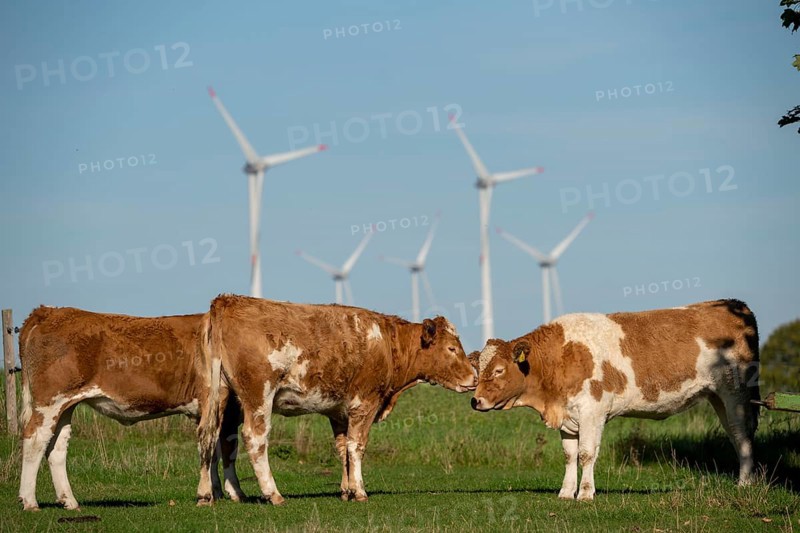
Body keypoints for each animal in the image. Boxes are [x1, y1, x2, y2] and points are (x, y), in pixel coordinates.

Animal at [17, 306, 244, 511]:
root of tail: (49, 311)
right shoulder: (224, 406)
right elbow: (226, 448)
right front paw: (233, 493)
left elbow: (213, 452)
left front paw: (217, 491)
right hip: (50, 401)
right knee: (35, 439)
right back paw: (30, 501)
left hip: (65, 406)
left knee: (57, 446)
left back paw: (69, 501)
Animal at [196, 294, 477, 504]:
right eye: (452, 348)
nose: (474, 377)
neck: (387, 344)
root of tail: (227, 300)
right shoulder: (365, 403)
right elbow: (357, 446)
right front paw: (359, 491)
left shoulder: (339, 411)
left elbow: (343, 449)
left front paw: (346, 490)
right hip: (258, 395)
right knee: (254, 438)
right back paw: (273, 494)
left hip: (219, 396)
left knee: (211, 437)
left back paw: (208, 494)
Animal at [471, 299, 759, 501]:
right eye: (478, 368)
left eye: (498, 370)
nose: (475, 401)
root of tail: (734, 304)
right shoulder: (568, 416)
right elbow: (569, 455)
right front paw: (566, 492)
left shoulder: (592, 410)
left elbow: (587, 454)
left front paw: (585, 493)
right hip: (718, 397)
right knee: (735, 435)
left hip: (735, 393)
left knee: (742, 435)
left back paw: (744, 483)